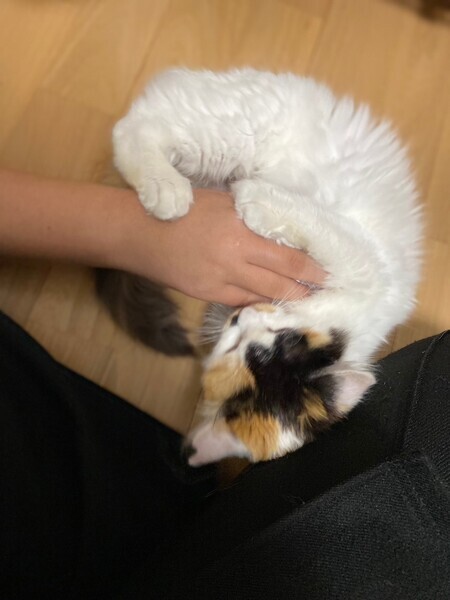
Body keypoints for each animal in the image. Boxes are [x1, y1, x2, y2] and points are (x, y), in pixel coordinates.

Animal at [102, 68, 422, 467]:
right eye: (284, 342)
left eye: (237, 345)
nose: (241, 318)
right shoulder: (364, 259)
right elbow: (317, 224)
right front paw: (254, 198)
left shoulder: (371, 268)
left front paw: (254, 201)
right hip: (233, 131)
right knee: (136, 127)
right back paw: (167, 187)